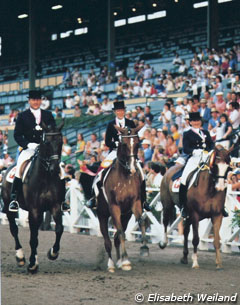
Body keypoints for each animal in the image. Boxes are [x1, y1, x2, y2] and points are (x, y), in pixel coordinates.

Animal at [1, 121, 64, 274]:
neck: (46, 176)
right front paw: (31, 265)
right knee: (14, 229)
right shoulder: (34, 209)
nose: (55, 168)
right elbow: (33, 237)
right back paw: (21, 257)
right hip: (9, 207)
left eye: (61, 142)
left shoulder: (55, 206)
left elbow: (59, 229)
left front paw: (53, 253)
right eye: (46, 142)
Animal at [80, 124, 148, 272]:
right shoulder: (114, 207)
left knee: (116, 237)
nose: (133, 168)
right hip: (103, 215)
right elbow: (120, 233)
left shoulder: (135, 204)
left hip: (125, 216)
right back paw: (111, 264)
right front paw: (126, 261)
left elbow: (140, 222)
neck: (125, 177)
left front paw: (143, 248)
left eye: (137, 143)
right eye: (124, 144)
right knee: (107, 240)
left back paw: (119, 261)